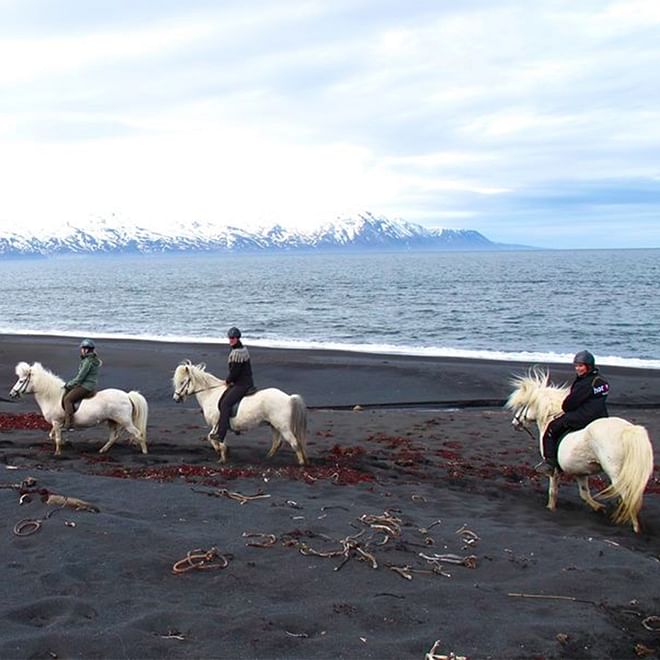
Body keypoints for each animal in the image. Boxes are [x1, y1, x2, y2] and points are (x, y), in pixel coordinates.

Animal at [9, 361, 149, 457]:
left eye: (21, 381)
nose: (11, 394)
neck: (52, 396)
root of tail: (127, 395)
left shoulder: (56, 422)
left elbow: (57, 437)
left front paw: (57, 453)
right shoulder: (56, 423)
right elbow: (53, 435)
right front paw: (61, 444)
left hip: (125, 422)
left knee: (138, 434)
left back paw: (144, 451)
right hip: (112, 421)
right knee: (114, 436)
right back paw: (102, 450)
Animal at [172, 360, 308, 465]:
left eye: (182, 382)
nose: (176, 398)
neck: (211, 394)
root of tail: (289, 398)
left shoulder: (217, 423)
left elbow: (212, 438)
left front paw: (221, 455)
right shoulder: (220, 425)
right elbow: (218, 439)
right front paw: (224, 454)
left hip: (283, 427)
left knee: (294, 443)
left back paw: (301, 464)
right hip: (274, 426)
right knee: (277, 443)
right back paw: (268, 458)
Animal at [505, 367, 654, 533]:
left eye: (522, 405)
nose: (514, 423)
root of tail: (629, 430)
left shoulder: (554, 470)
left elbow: (553, 491)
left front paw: (551, 508)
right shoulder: (580, 472)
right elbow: (584, 494)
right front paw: (599, 508)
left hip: (616, 473)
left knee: (629, 496)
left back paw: (636, 527)